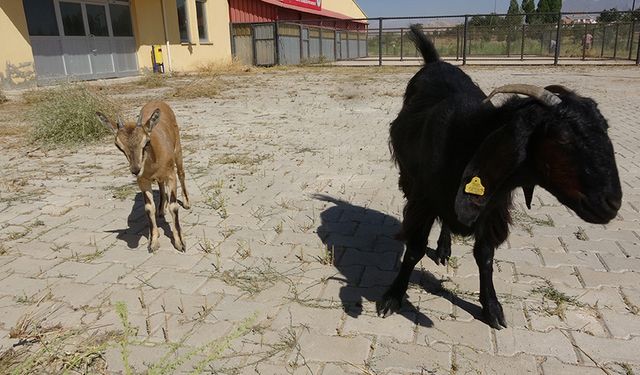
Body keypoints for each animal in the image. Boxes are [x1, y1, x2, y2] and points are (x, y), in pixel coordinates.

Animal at [378, 25, 624, 328]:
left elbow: (485, 256)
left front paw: (492, 308)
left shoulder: (491, 207)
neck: (469, 139)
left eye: (606, 129)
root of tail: (435, 62)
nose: (611, 203)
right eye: (563, 138)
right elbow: (414, 249)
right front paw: (392, 297)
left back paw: (445, 249)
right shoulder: (424, 199)